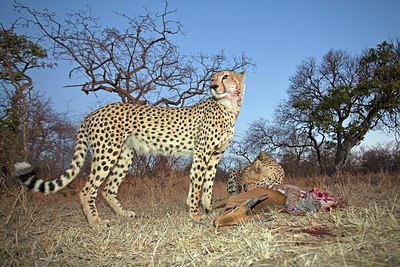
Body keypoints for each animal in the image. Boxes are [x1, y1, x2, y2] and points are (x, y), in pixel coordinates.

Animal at [14, 70, 247, 226]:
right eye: (213, 78)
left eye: (226, 77)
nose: (213, 86)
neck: (228, 107)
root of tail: (92, 113)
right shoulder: (201, 152)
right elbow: (197, 183)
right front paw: (195, 213)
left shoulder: (215, 155)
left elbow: (207, 183)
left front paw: (207, 209)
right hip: (107, 152)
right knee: (87, 190)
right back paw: (96, 223)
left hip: (125, 155)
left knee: (108, 188)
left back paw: (123, 214)